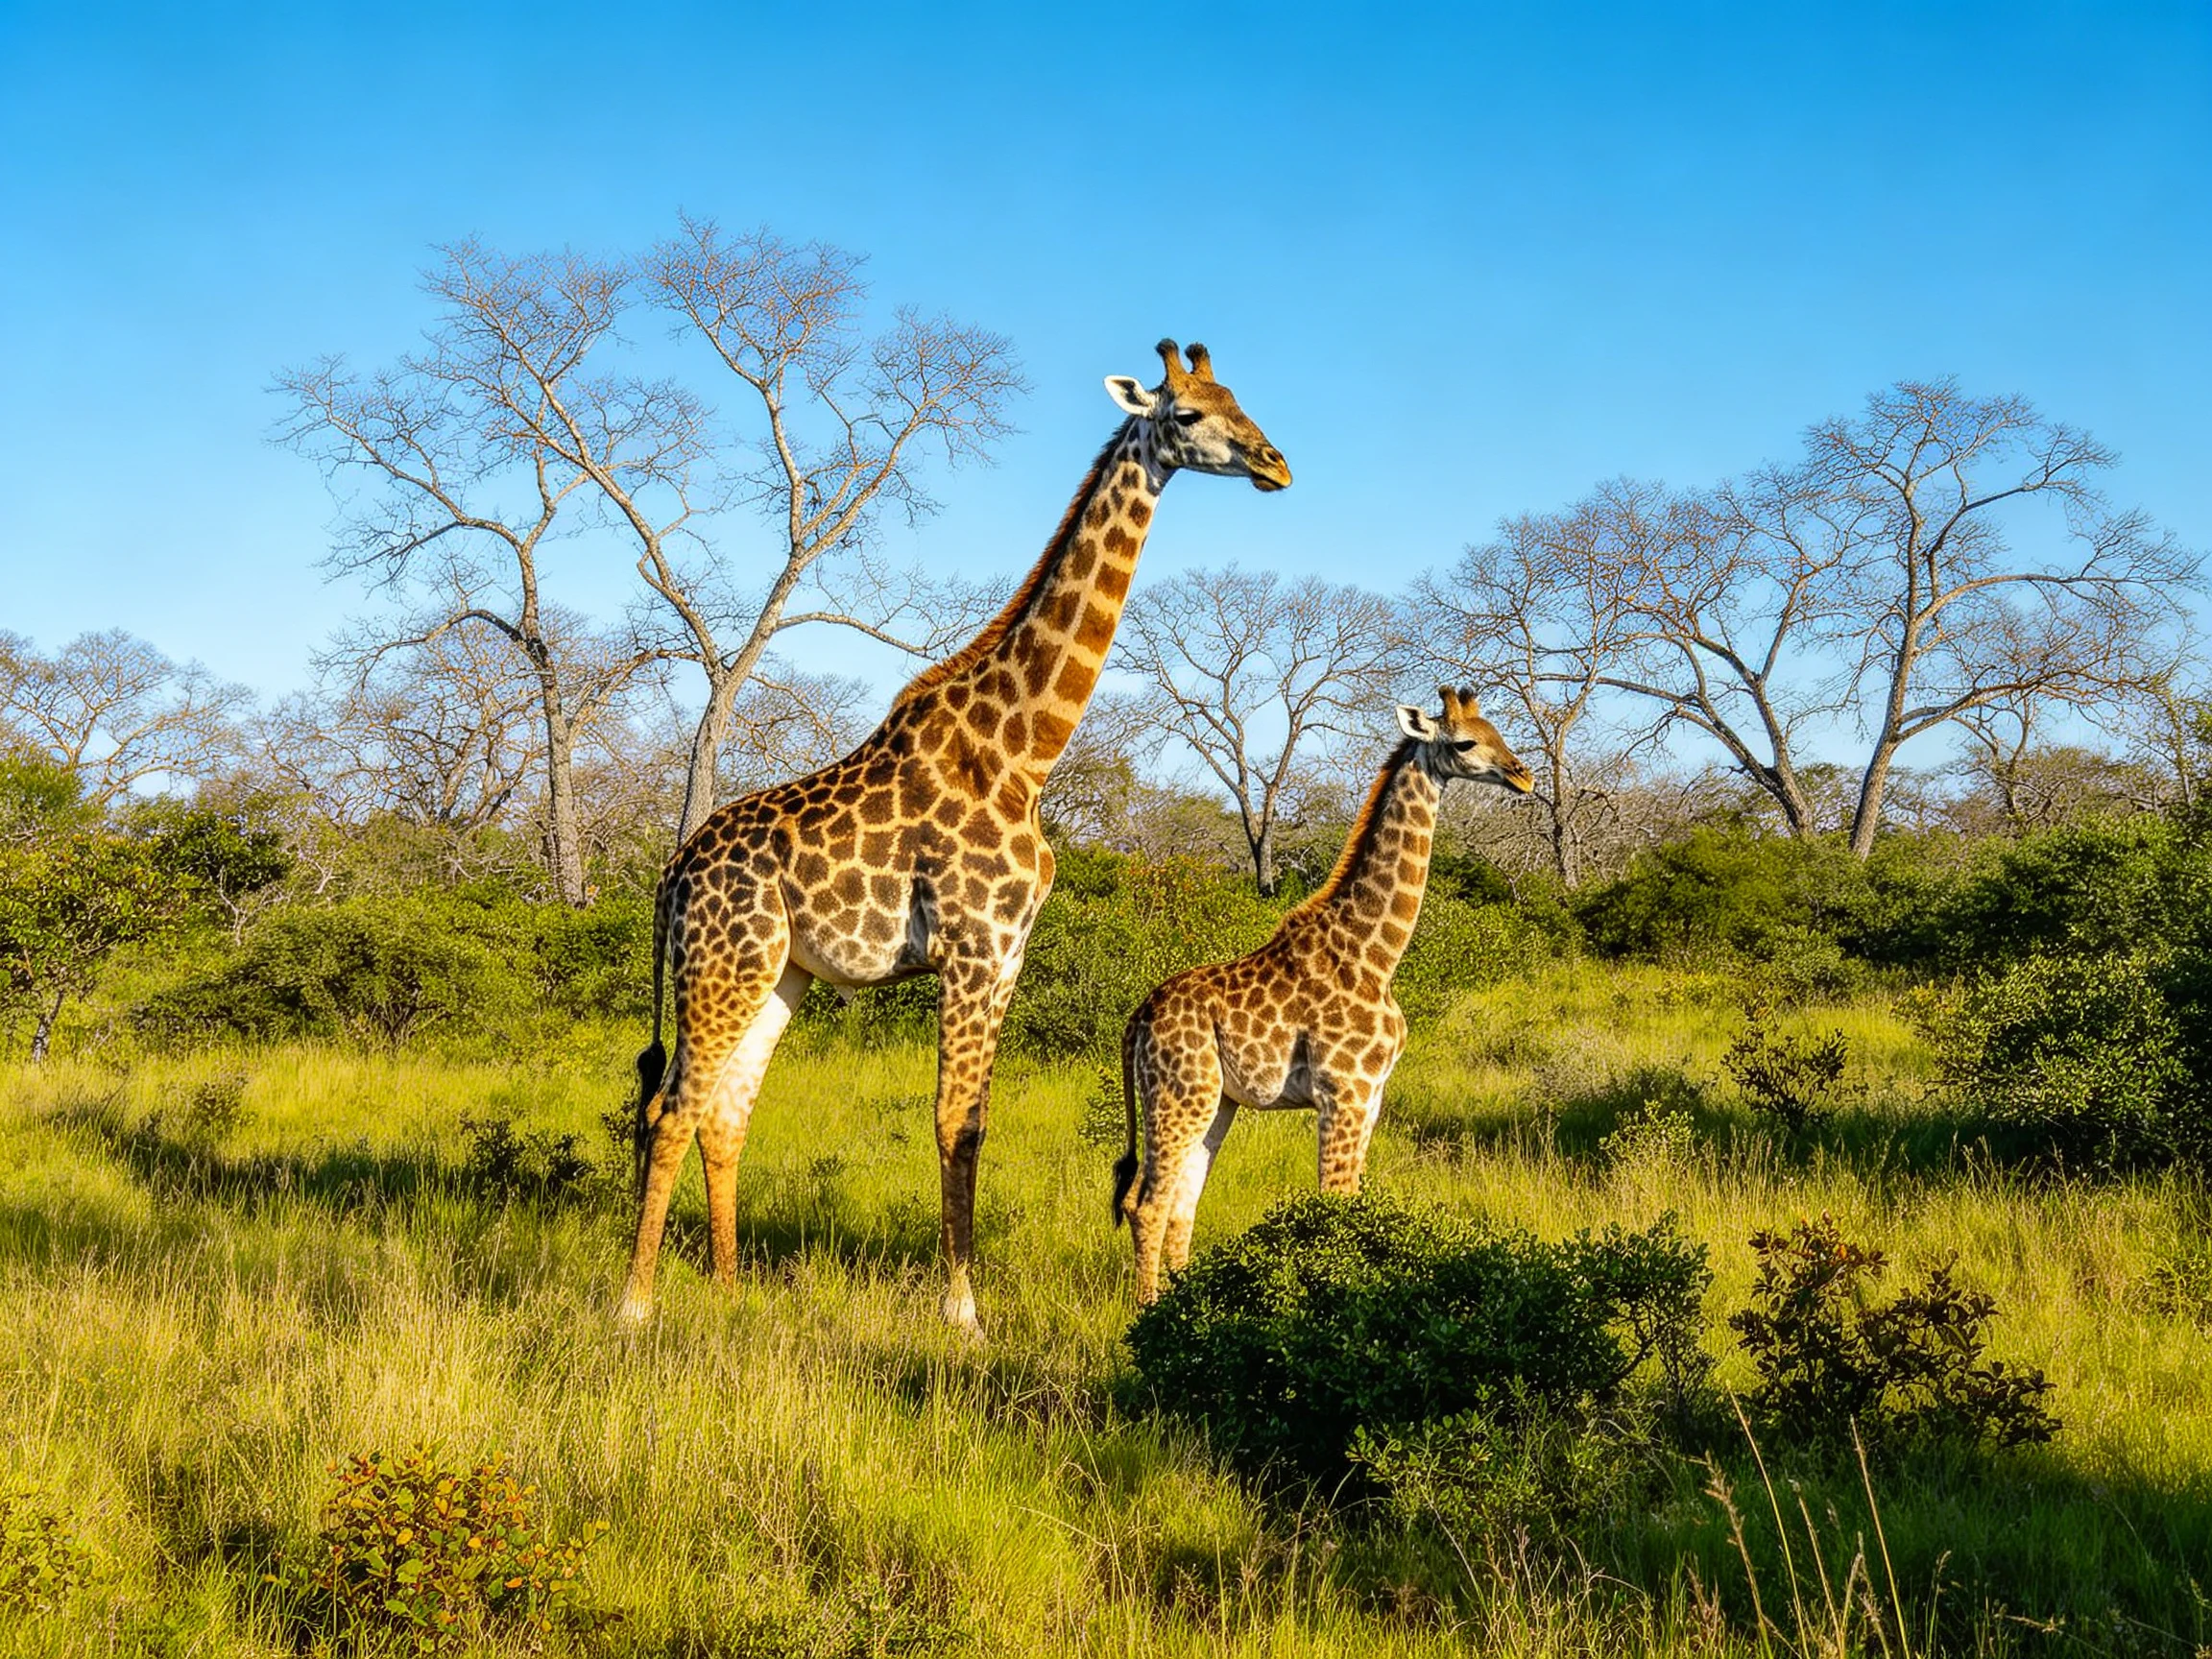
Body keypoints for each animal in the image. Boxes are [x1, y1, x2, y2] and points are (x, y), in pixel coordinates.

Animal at [621, 339, 1291, 1329]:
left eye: (1239, 398)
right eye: (1188, 415)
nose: (1276, 464)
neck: (1024, 753)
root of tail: (672, 872)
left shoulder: (1009, 951)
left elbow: (975, 1121)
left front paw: (964, 1302)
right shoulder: (972, 945)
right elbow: (953, 1123)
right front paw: (964, 1314)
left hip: (779, 971)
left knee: (724, 1111)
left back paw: (732, 1288)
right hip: (723, 963)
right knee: (673, 1109)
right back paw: (633, 1305)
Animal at [1112, 688, 1534, 1302]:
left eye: (1496, 731)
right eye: (1464, 742)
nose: (1523, 775)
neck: (1375, 955)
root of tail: (1137, 1019)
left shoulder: (1373, 1096)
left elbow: (1352, 1200)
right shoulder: (1344, 1092)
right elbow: (1335, 1203)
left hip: (1216, 1101)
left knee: (1181, 1205)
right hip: (1178, 1093)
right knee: (1146, 1204)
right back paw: (1149, 1313)